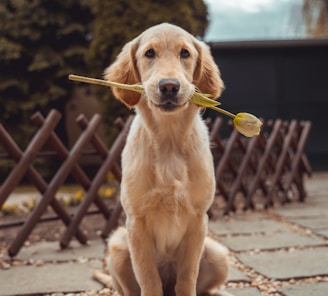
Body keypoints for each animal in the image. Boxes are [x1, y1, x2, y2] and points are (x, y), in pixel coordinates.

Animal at [92, 23, 229, 296]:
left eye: (185, 53)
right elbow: (149, 279)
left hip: (218, 253)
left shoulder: (198, 220)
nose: (169, 86)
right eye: (149, 53)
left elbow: (187, 278)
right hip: (118, 247)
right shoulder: (136, 222)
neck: (168, 142)